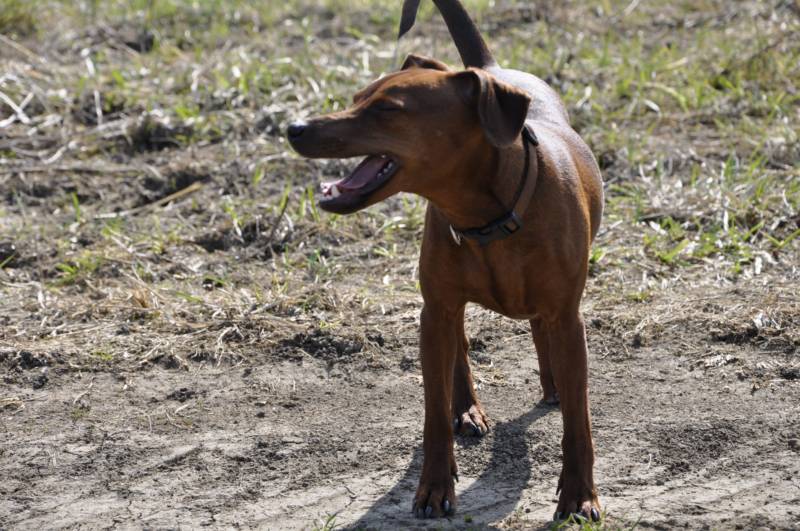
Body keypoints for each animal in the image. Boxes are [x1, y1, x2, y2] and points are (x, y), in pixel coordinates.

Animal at [287, 0, 603, 522]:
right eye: (357, 97)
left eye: (387, 109)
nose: (295, 127)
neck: (487, 214)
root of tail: (491, 70)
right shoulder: (433, 313)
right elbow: (433, 411)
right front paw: (435, 486)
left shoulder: (567, 316)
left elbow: (579, 420)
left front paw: (579, 494)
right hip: (444, 306)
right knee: (459, 347)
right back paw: (467, 408)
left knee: (541, 335)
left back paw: (551, 381)